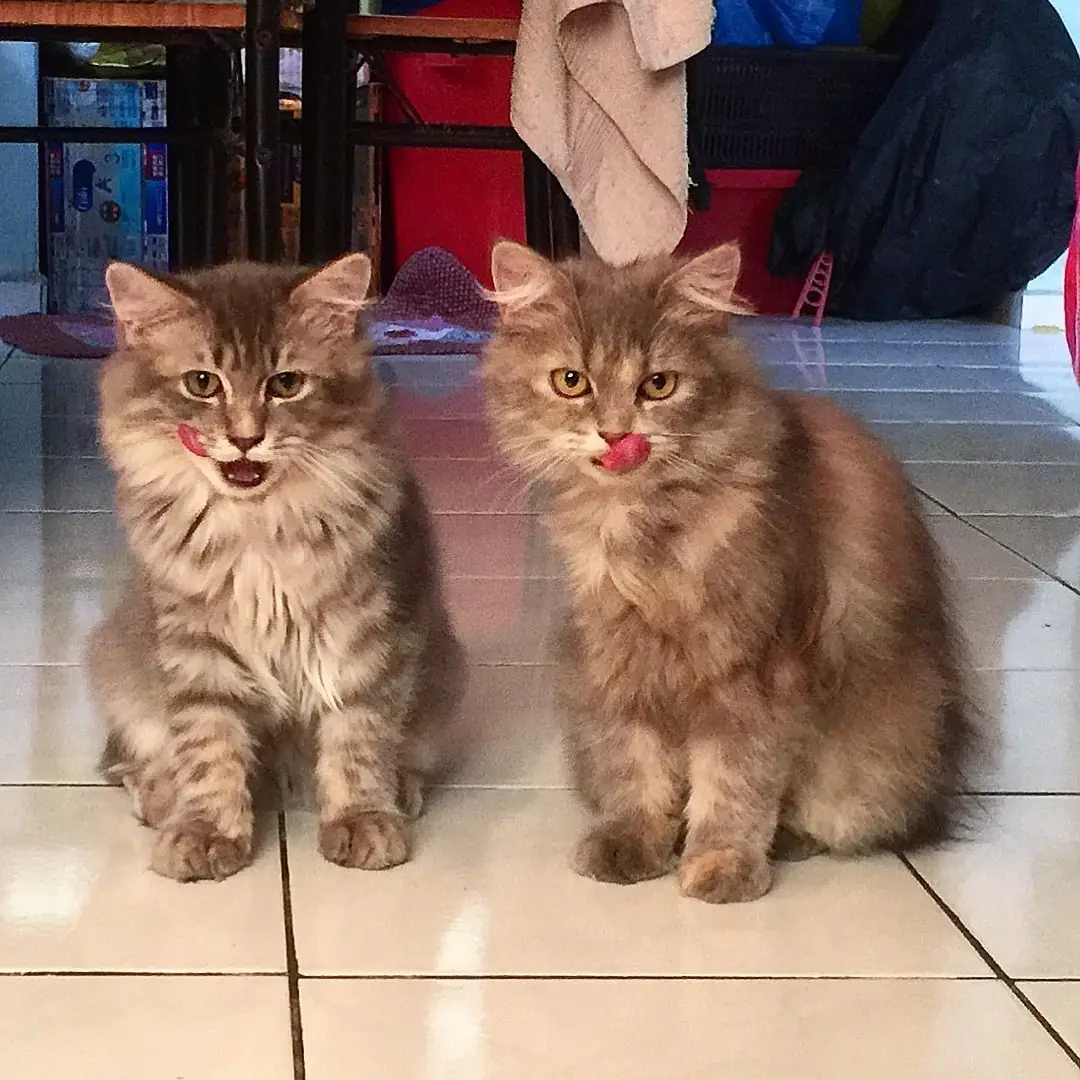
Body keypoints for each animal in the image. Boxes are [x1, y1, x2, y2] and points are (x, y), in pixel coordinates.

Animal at [87, 253, 463, 882]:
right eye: (202, 383)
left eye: (286, 384)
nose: (246, 438)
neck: (257, 526)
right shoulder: (195, 644)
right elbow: (208, 746)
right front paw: (208, 832)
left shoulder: (365, 635)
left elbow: (358, 738)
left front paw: (362, 819)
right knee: (141, 759)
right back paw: (161, 796)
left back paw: (401, 791)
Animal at [481, 240, 979, 904]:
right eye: (571, 381)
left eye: (658, 385)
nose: (616, 434)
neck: (649, 536)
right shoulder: (616, 657)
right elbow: (635, 765)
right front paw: (635, 843)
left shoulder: (757, 669)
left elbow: (735, 781)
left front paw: (722, 864)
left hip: (872, 767)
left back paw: (786, 841)